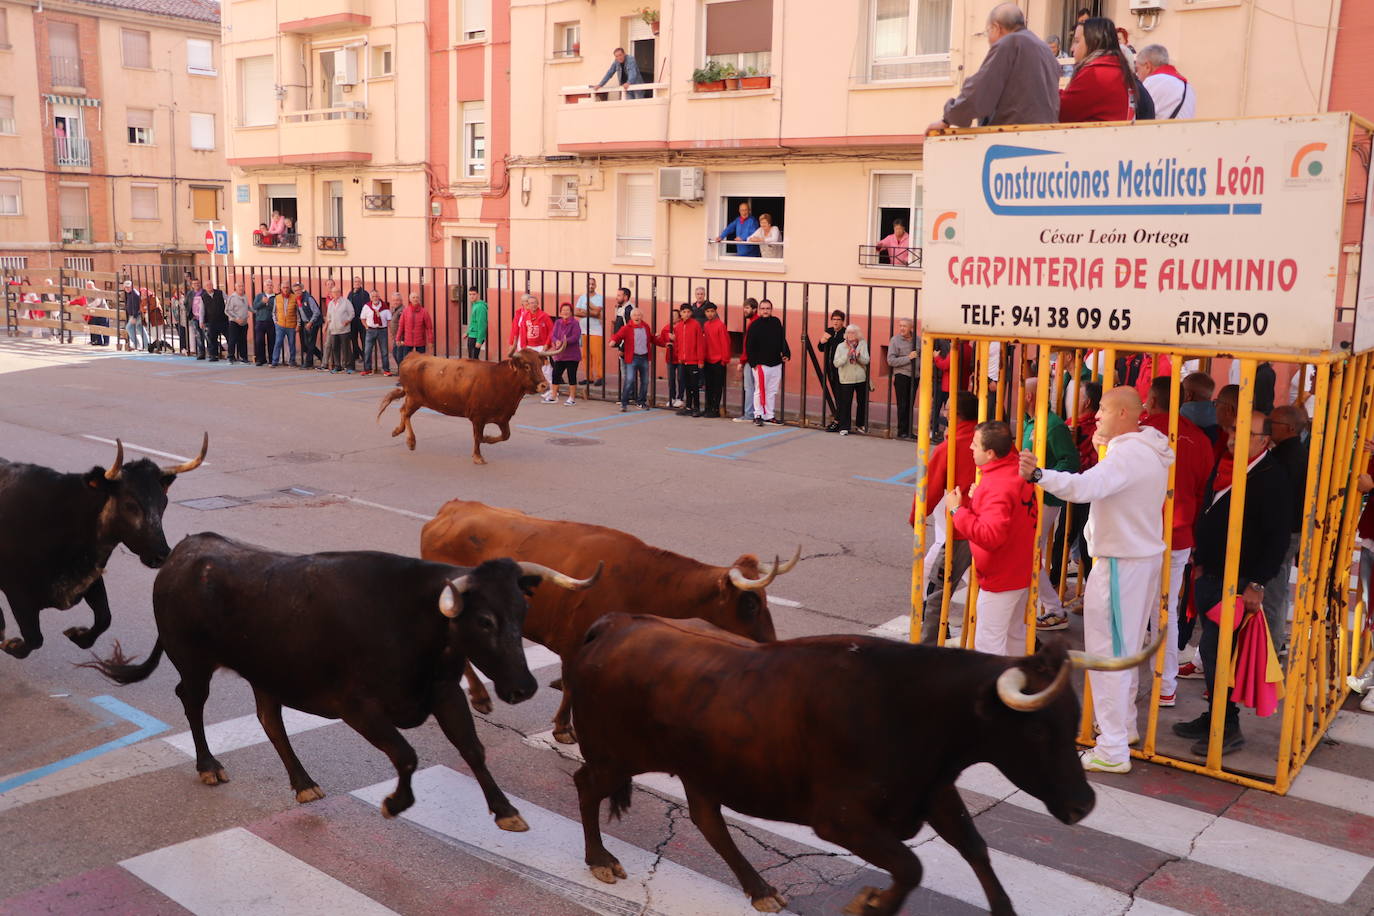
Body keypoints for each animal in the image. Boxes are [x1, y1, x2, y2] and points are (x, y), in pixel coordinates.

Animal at [0, 436, 206, 659]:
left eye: (164, 502)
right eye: (129, 504)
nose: (161, 555)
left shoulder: (91, 578)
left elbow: (104, 618)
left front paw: (79, 635)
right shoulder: (17, 592)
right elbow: (34, 639)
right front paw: (10, 644)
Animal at [84, 532, 601, 829]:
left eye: (521, 613)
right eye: (485, 621)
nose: (524, 687)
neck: (412, 620)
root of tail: (184, 551)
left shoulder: (444, 693)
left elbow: (472, 750)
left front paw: (506, 810)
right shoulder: (358, 707)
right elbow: (406, 755)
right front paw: (395, 802)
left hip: (266, 671)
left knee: (269, 720)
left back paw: (303, 782)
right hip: (193, 662)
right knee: (192, 702)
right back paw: (209, 765)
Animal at [379, 351, 549, 466]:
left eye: (541, 365)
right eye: (526, 366)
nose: (545, 385)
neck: (500, 380)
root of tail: (412, 357)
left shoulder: (503, 418)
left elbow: (505, 436)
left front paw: (487, 438)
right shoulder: (478, 418)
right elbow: (477, 437)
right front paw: (478, 457)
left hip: (413, 398)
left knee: (403, 411)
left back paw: (398, 431)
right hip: (415, 398)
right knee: (404, 412)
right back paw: (410, 441)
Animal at [417, 497, 796, 741]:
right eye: (750, 602)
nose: (770, 643)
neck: (643, 580)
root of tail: (452, 508)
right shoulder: (574, 644)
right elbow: (572, 685)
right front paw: (564, 728)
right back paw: (480, 696)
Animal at [566, 615, 1159, 916]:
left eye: (1073, 719)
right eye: (1037, 729)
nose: (1083, 805)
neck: (912, 709)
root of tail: (614, 624)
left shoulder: (935, 794)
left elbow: (975, 848)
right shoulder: (841, 820)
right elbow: (910, 866)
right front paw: (869, 904)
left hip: (704, 768)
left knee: (708, 821)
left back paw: (760, 889)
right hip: (617, 755)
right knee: (585, 783)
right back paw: (599, 858)